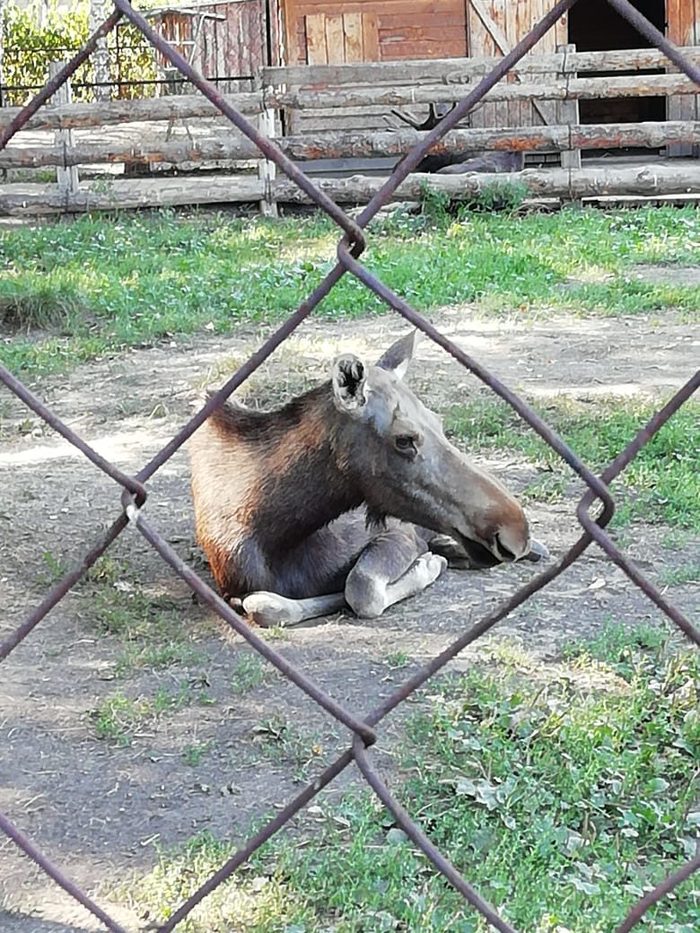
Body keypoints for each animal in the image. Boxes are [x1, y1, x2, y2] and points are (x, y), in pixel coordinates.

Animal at [190, 332, 548, 628]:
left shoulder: (398, 534)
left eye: (439, 422)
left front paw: (427, 566)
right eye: (404, 439)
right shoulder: (232, 586)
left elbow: (360, 588)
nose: (515, 530)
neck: (277, 533)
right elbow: (268, 605)